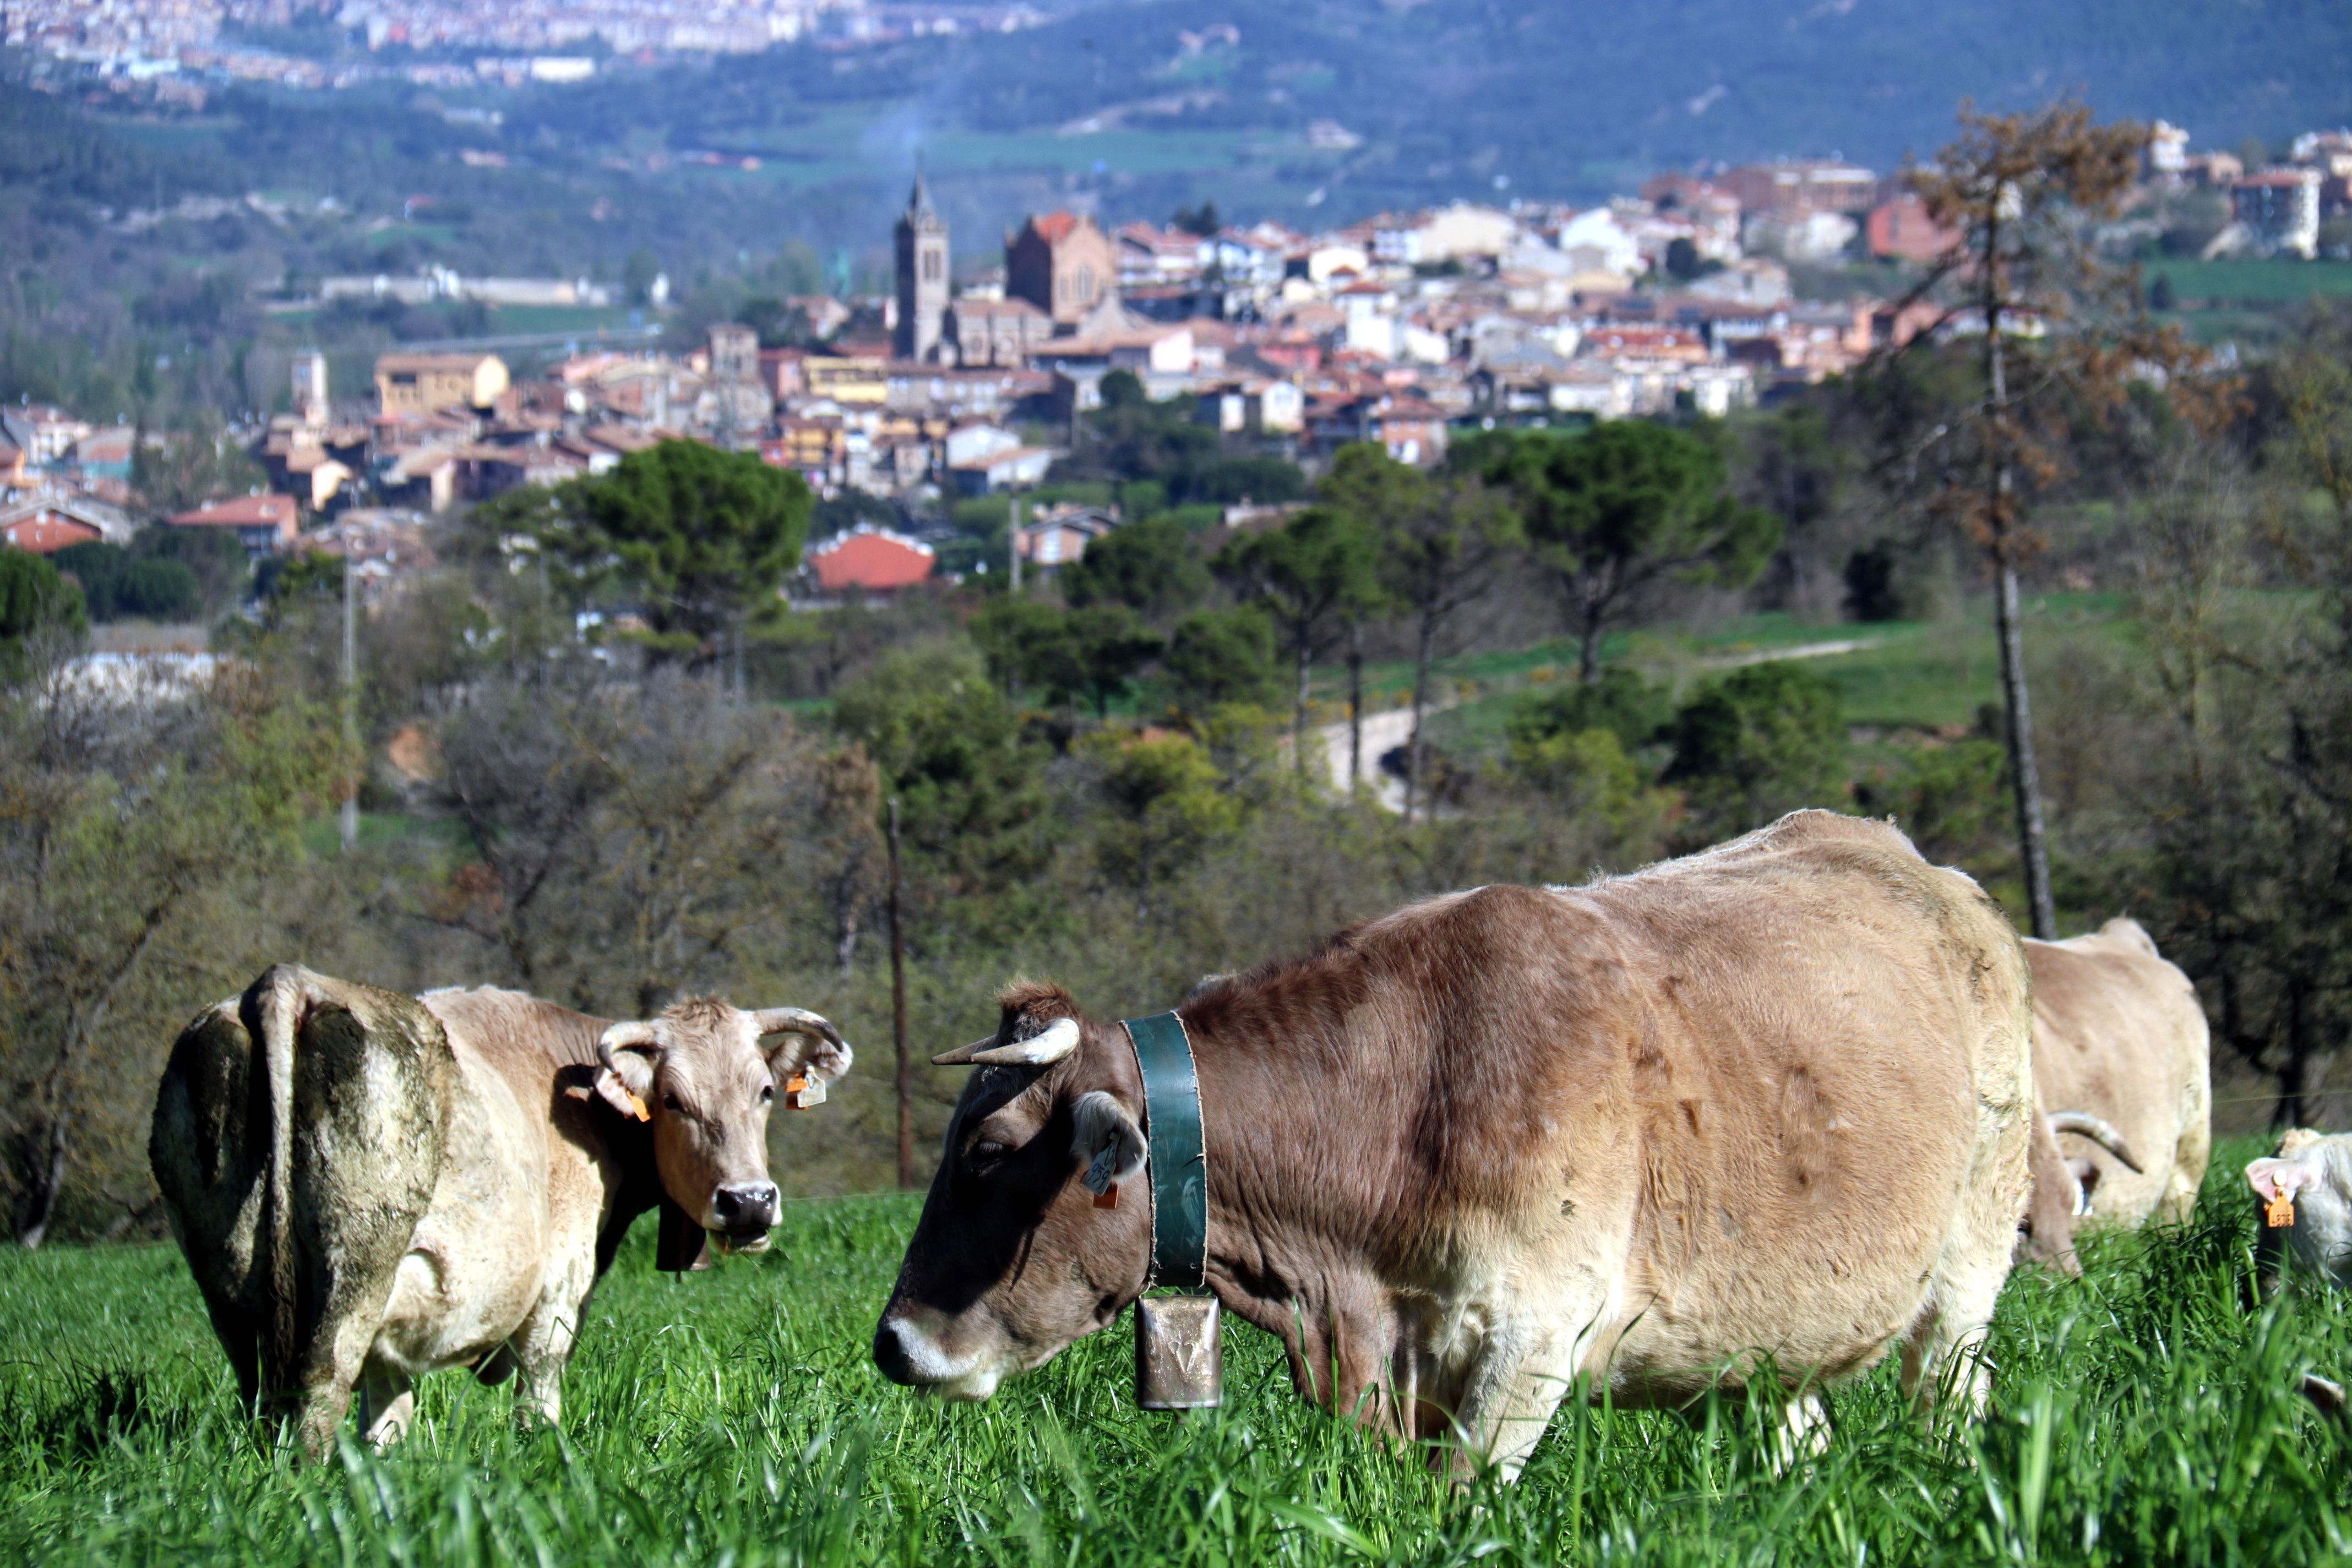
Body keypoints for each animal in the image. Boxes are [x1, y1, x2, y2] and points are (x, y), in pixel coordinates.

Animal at [149, 963, 846, 1467]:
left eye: (764, 1091)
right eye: (673, 1099)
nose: (749, 1200)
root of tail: (289, 982)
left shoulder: (394, 1332)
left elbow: (388, 1417)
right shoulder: (560, 1286)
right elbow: (538, 1394)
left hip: (234, 1285)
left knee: (262, 1393)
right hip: (356, 1271)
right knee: (318, 1394)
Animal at [875, 818, 2032, 1476]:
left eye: (990, 1151)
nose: (893, 1344)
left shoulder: (1533, 1339)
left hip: (1966, 1278)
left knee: (1945, 1393)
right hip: (1773, 1327)